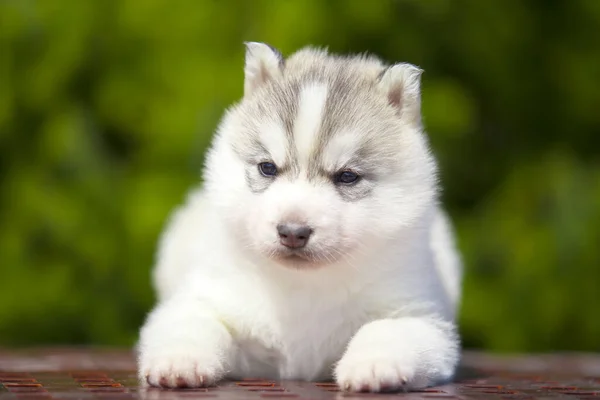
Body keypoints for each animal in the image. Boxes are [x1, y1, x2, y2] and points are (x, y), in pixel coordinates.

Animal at [138, 42, 462, 392]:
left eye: (347, 176)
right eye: (267, 167)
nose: (293, 231)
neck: (303, 286)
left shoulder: (422, 316)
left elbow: (385, 329)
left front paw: (374, 365)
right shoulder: (204, 297)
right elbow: (194, 323)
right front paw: (179, 360)